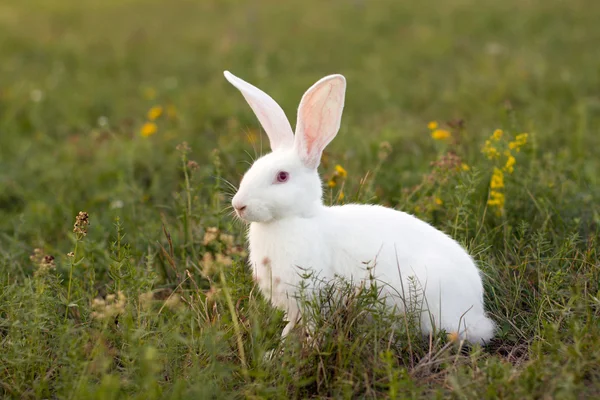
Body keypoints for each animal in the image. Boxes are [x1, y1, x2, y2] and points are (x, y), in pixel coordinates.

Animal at [225, 71, 496, 344]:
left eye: (282, 176)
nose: (238, 205)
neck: (296, 219)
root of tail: (477, 309)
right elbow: (290, 325)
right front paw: (281, 346)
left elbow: (311, 326)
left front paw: (306, 345)